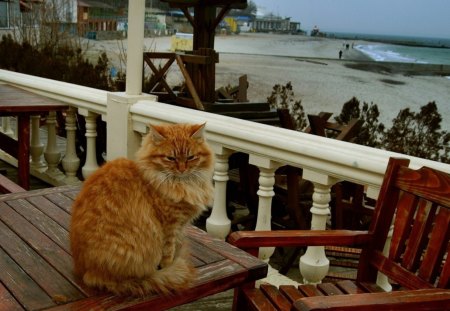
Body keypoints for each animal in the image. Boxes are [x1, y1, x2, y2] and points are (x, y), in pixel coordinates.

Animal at [70, 123, 214, 298]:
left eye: (190, 157)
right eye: (171, 158)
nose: (182, 169)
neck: (183, 184)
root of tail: (84, 270)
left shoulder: (180, 225)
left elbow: (177, 244)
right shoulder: (170, 225)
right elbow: (168, 251)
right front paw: (169, 264)